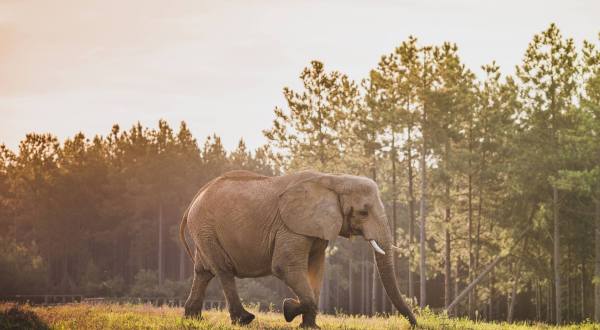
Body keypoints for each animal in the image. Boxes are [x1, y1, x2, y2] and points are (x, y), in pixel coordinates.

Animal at [179, 170, 418, 328]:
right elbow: (285, 267)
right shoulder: (291, 226)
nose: (415, 324)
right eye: (363, 212)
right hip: (206, 227)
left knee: (203, 272)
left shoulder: (317, 228)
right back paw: (245, 320)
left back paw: (193, 319)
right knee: (224, 270)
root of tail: (194, 198)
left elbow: (316, 269)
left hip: (204, 231)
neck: (335, 180)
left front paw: (310, 326)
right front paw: (288, 309)